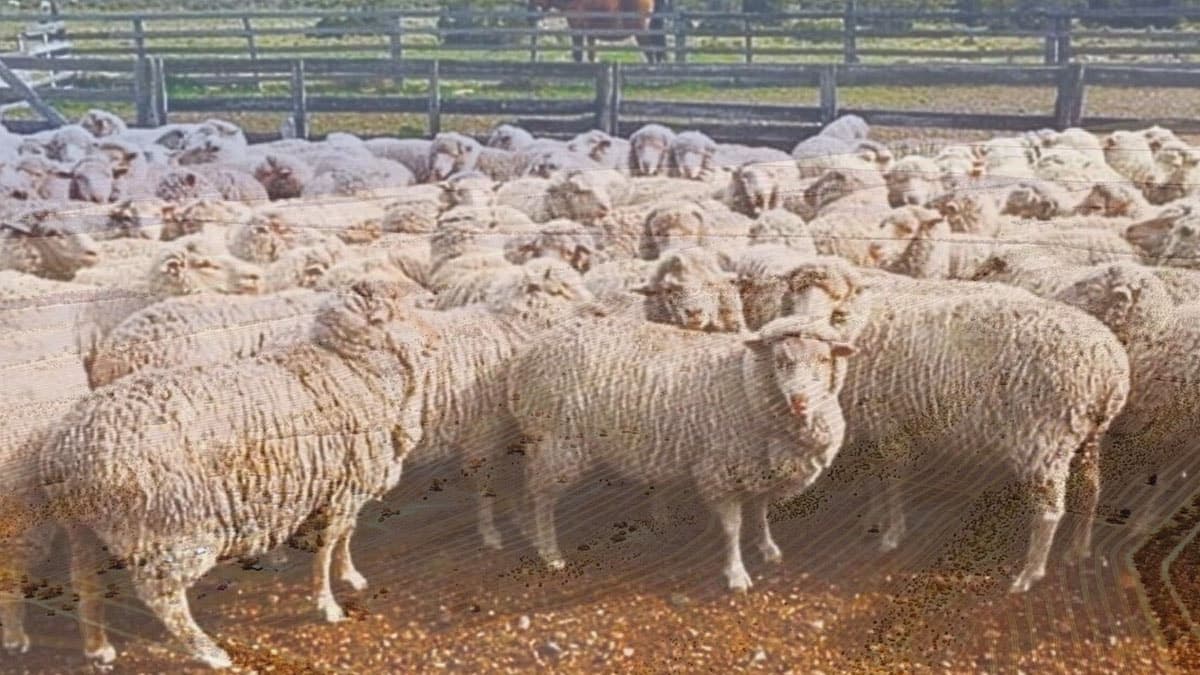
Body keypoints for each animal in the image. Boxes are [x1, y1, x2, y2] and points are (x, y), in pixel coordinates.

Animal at [41, 280, 430, 669]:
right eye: (406, 299)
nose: (432, 298)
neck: (355, 367)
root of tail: (67, 446)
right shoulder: (342, 489)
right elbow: (328, 546)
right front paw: (328, 604)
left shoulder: (343, 486)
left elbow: (344, 537)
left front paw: (349, 576)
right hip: (170, 527)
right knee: (162, 597)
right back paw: (209, 652)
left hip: (84, 528)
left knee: (85, 583)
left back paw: (98, 647)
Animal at [507, 308, 855, 590]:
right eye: (781, 361)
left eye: (824, 360)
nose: (800, 401)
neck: (745, 383)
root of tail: (529, 352)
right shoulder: (719, 469)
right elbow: (733, 527)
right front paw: (736, 574)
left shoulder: (760, 468)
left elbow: (760, 513)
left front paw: (767, 548)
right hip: (558, 440)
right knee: (543, 497)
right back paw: (549, 552)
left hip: (543, 440)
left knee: (528, 485)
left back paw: (528, 531)